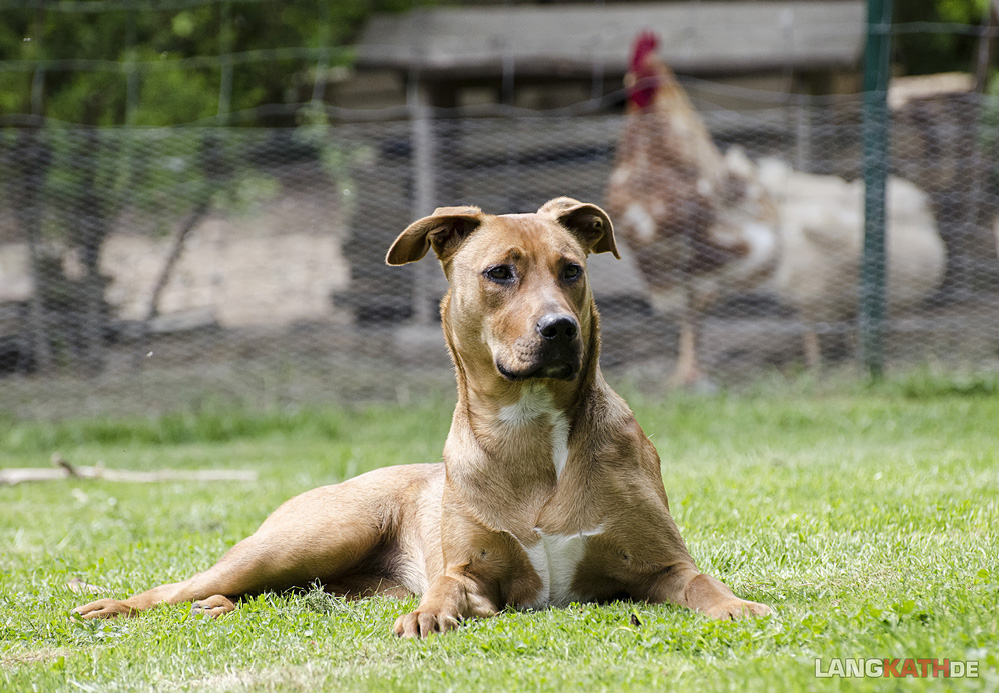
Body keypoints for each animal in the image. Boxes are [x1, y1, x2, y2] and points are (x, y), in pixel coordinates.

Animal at [72, 197, 772, 636]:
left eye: (571, 270)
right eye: (500, 272)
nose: (560, 329)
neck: (530, 432)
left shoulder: (662, 565)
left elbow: (702, 584)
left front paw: (738, 605)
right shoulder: (468, 569)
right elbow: (446, 585)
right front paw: (431, 613)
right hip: (307, 539)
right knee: (180, 588)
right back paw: (117, 606)